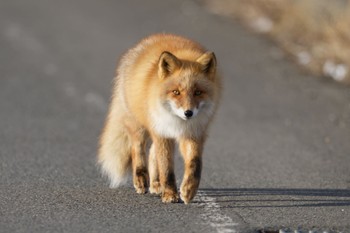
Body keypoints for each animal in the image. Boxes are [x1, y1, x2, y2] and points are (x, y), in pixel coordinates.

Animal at [97, 33, 220, 204]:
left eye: (198, 92)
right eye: (176, 92)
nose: (188, 113)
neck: (178, 123)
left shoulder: (193, 134)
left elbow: (195, 165)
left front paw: (188, 190)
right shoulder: (162, 133)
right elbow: (166, 168)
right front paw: (170, 194)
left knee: (152, 154)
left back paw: (155, 184)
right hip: (141, 127)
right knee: (138, 150)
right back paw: (141, 180)